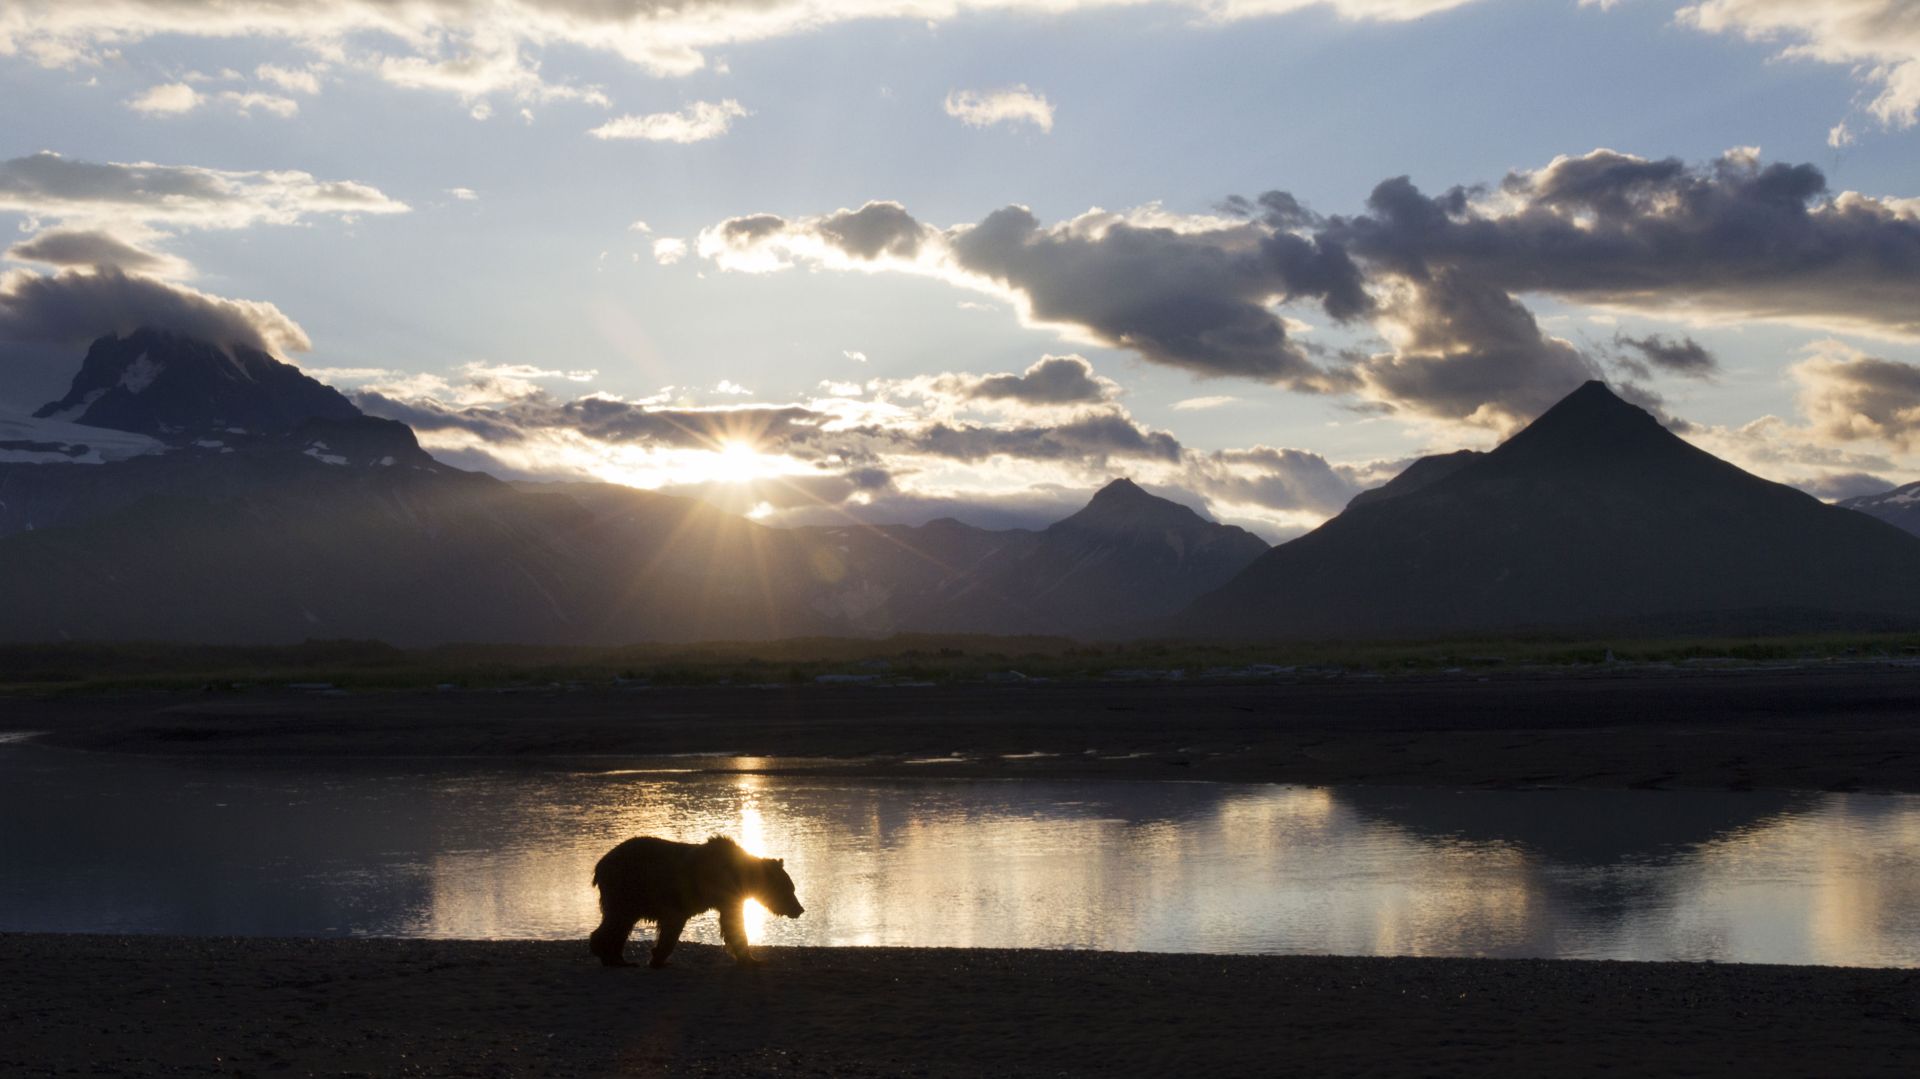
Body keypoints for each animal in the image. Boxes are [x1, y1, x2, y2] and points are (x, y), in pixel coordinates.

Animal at [588, 835, 805, 968]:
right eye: (790, 889)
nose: (800, 909)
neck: (739, 876)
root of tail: (600, 865)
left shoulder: (725, 897)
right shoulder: (718, 891)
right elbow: (731, 923)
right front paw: (753, 959)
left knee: (622, 923)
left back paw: (617, 957)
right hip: (626, 887)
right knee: (618, 919)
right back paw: (612, 957)